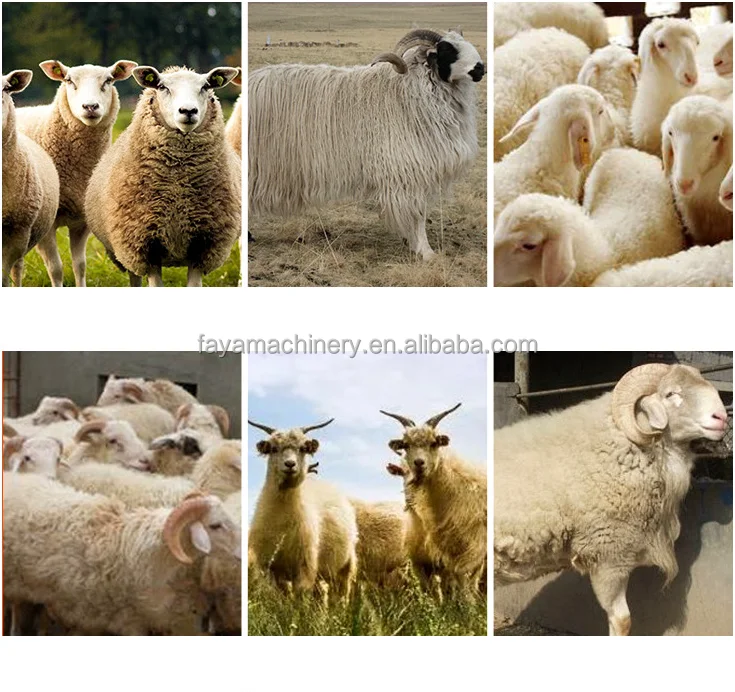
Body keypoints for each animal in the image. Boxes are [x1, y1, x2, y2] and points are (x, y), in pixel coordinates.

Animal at [15, 60, 137, 286]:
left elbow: (80, 266)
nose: (90, 107)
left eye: (108, 80)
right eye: (69, 80)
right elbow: (56, 268)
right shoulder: (46, 223)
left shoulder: (82, 221)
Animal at [85, 66, 241, 287]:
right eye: (162, 87)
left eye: (205, 87)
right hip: (126, 250)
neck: (178, 187)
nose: (188, 111)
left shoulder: (204, 245)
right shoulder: (144, 246)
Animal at [248, 418, 358, 600]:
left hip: (345, 567)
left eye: (303, 448)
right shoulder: (267, 566)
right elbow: (276, 596)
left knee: (340, 596)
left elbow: (300, 595)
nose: (290, 464)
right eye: (273, 448)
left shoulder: (305, 565)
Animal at [249, 29, 484, 260]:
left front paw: (416, 245)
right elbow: (417, 214)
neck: (406, 92)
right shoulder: (408, 173)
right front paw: (425, 252)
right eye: (445, 49)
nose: (481, 69)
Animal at [381, 403, 486, 597]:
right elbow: (434, 593)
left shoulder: (461, 558)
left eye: (434, 443)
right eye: (405, 445)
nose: (419, 463)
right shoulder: (423, 564)